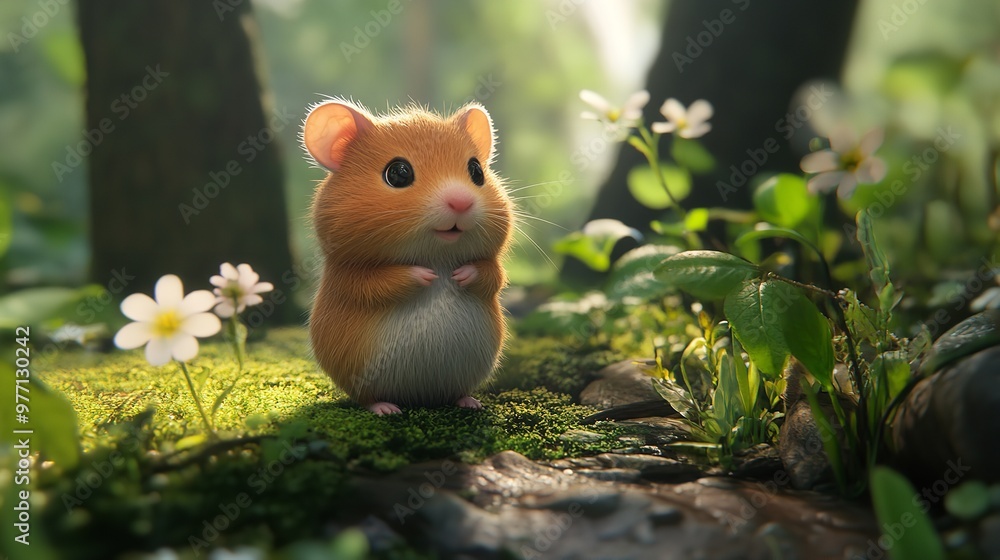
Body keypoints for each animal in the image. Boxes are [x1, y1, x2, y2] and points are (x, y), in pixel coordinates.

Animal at [301, 98, 513, 415]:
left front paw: (459, 275)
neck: (437, 255)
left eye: (476, 171)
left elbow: (491, 274)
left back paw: (470, 402)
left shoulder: (492, 267)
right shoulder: (349, 274)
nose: (461, 202)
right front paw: (427, 275)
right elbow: (379, 283)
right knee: (367, 398)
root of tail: (421, 397)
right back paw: (387, 409)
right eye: (398, 173)